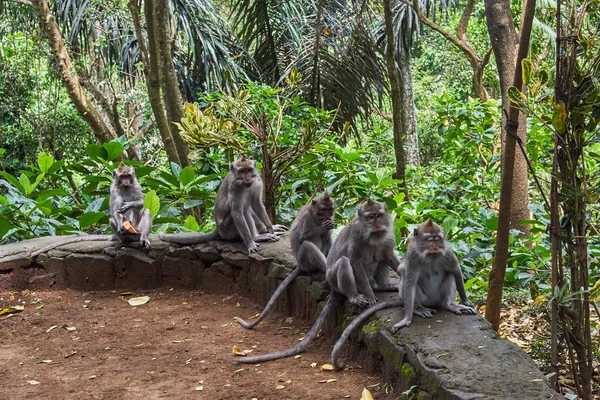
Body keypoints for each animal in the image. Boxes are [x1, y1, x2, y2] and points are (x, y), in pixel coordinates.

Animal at [237, 192, 336, 330]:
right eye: (324, 209)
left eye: (330, 209)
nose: (329, 216)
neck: (315, 216)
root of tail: (300, 265)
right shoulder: (307, 218)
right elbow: (303, 237)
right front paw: (322, 227)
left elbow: (327, 236)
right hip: (305, 261)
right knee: (307, 245)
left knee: (327, 239)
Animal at [330, 220, 476, 370]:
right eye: (429, 239)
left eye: (437, 239)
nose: (435, 247)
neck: (430, 256)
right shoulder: (413, 256)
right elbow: (410, 282)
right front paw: (406, 319)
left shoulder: (447, 252)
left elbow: (456, 271)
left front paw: (465, 301)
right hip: (423, 299)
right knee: (409, 283)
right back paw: (418, 308)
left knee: (449, 275)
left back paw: (449, 305)